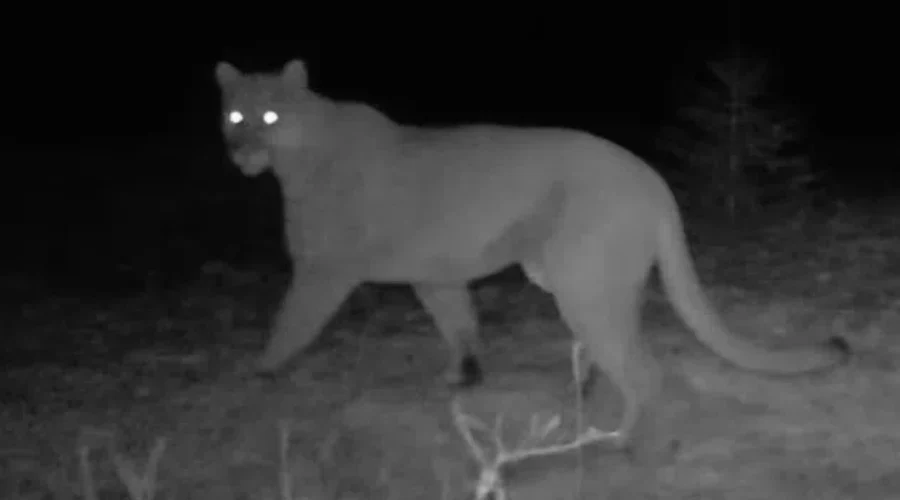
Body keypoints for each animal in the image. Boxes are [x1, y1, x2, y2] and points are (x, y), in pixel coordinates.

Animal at [214, 59, 850, 456]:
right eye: (235, 115)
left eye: (269, 116)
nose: (240, 149)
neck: (299, 157)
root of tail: (650, 176)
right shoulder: (435, 274)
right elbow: (458, 324)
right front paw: (464, 375)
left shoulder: (322, 270)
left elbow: (290, 323)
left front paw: (262, 371)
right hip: (587, 280)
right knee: (621, 348)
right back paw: (589, 389)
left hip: (582, 282)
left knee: (644, 370)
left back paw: (622, 441)